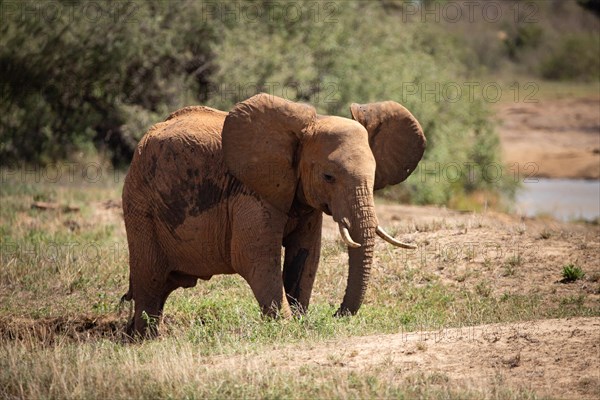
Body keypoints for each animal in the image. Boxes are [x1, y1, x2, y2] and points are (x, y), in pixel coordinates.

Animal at [119, 92, 424, 336]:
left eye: (374, 178)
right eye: (328, 177)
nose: (336, 313)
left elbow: (306, 255)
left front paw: (300, 321)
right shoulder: (250, 192)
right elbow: (255, 257)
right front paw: (288, 328)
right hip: (139, 203)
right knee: (150, 279)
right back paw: (145, 339)